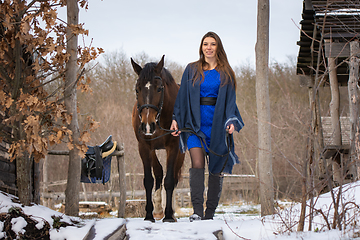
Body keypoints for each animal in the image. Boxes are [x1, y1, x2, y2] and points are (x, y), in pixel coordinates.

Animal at [131, 55, 184, 222]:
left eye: (159, 88)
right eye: (137, 89)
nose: (148, 125)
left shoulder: (173, 147)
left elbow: (169, 180)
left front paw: (168, 216)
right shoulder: (144, 147)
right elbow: (149, 180)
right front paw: (149, 215)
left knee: (173, 176)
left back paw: (169, 212)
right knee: (159, 171)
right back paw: (158, 209)